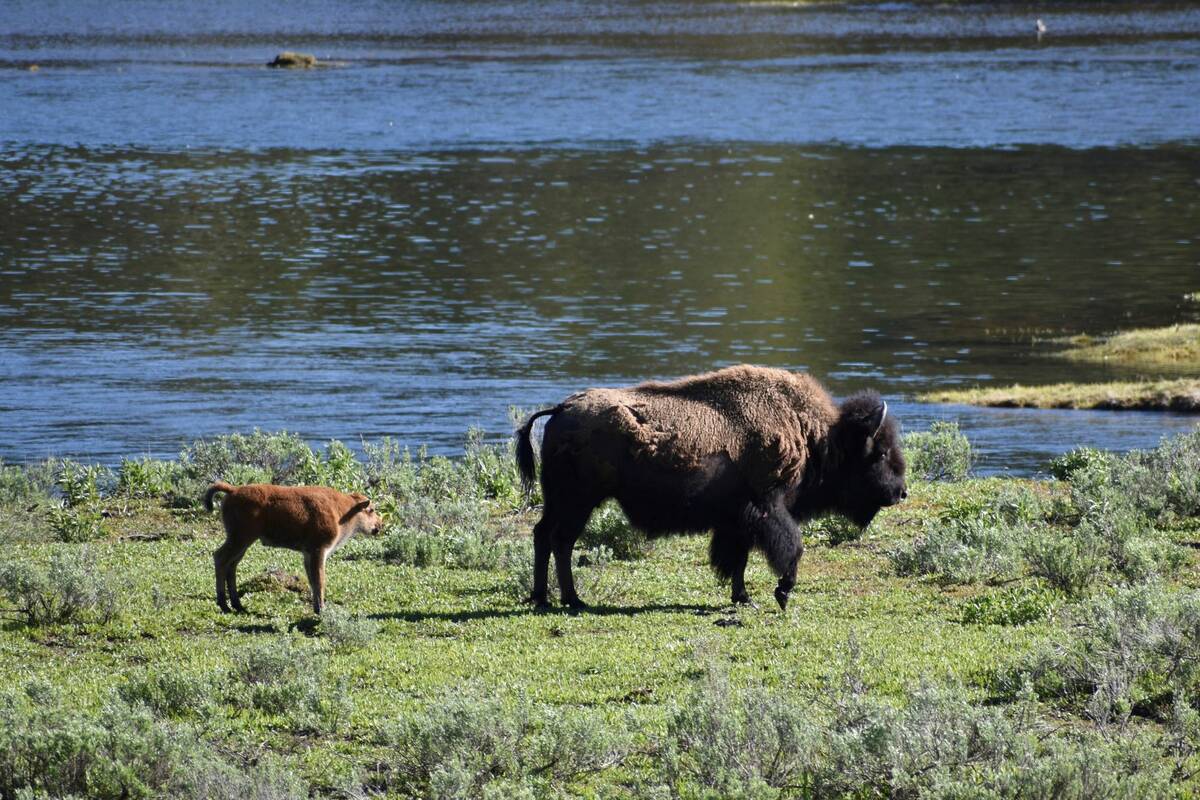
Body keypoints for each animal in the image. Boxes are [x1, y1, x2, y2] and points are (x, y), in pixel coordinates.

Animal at [201, 484, 379, 618]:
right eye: (370, 510)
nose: (380, 525)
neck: (344, 511)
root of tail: (233, 490)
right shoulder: (318, 551)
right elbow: (320, 580)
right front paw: (322, 611)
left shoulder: (308, 554)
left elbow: (313, 581)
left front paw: (317, 608)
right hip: (240, 539)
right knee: (220, 558)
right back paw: (224, 605)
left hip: (243, 543)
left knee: (232, 565)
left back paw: (238, 605)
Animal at [511, 367, 902, 609]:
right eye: (880, 452)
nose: (901, 492)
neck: (813, 434)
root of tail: (561, 409)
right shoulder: (767, 508)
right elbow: (791, 548)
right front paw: (781, 593)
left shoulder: (736, 521)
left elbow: (738, 560)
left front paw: (743, 598)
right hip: (577, 501)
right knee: (560, 540)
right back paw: (571, 600)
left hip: (562, 501)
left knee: (545, 536)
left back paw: (545, 598)